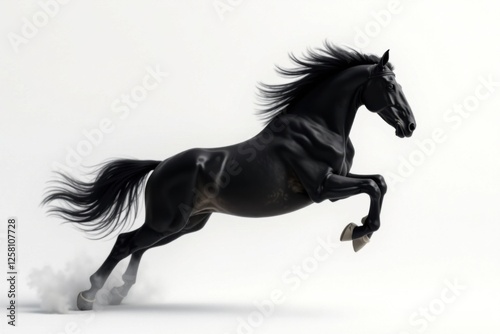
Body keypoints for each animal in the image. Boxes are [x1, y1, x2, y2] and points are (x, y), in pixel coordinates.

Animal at [43, 44, 416, 310]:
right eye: (389, 84)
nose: (410, 126)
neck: (318, 126)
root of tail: (160, 166)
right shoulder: (322, 188)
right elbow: (373, 185)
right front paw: (358, 232)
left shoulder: (339, 179)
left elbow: (378, 182)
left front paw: (359, 230)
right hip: (169, 222)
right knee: (126, 242)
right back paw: (88, 296)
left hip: (186, 225)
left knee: (139, 246)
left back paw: (118, 293)